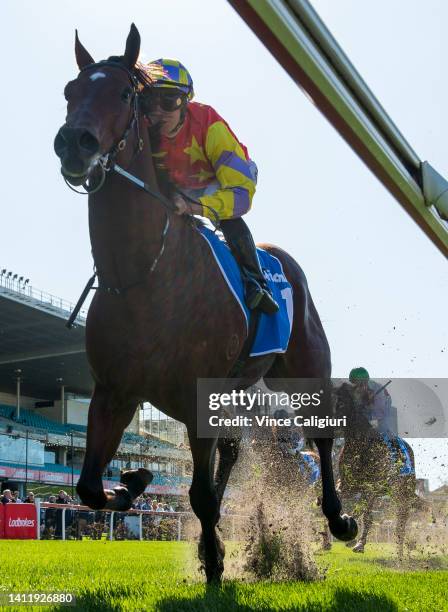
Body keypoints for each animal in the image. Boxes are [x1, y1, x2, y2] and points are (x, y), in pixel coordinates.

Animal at [52, 23, 354, 584]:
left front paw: (214, 564)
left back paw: (340, 519)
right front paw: (134, 479)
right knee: (230, 450)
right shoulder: (114, 391)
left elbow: (202, 497)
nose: (74, 143)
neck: (143, 276)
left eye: (123, 94)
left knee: (321, 438)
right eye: (69, 91)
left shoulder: (194, 399)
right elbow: (89, 487)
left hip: (306, 368)